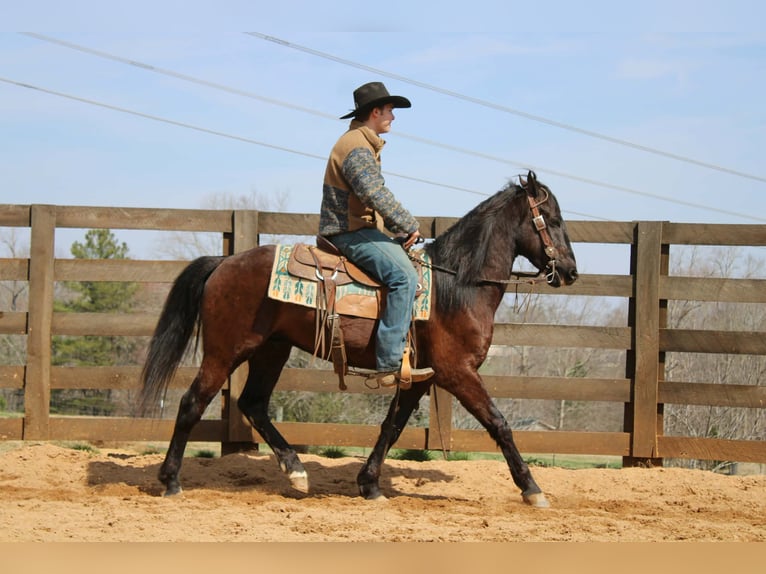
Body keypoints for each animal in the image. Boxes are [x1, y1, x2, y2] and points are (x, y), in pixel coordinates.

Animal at [137, 170, 578, 507]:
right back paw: (171, 480)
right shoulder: (458, 372)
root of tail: (224, 262)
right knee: (192, 404)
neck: (456, 286)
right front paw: (532, 489)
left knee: (253, 404)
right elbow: (499, 424)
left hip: (271, 350)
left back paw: (295, 470)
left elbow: (392, 427)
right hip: (225, 351)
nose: (571, 271)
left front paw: (369, 484)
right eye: (553, 219)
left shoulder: (421, 378)